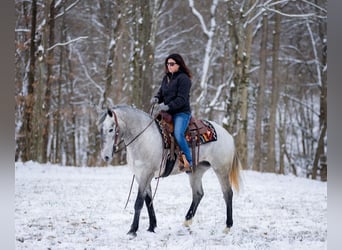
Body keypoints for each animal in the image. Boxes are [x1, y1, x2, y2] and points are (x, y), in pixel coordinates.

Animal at [97, 104, 242, 237]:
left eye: (111, 129)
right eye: (101, 129)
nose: (105, 156)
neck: (144, 138)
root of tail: (228, 135)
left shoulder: (146, 175)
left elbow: (139, 202)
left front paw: (133, 230)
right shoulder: (140, 176)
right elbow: (148, 200)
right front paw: (152, 227)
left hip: (221, 170)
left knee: (227, 194)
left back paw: (227, 226)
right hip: (196, 171)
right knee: (198, 194)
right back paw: (187, 221)